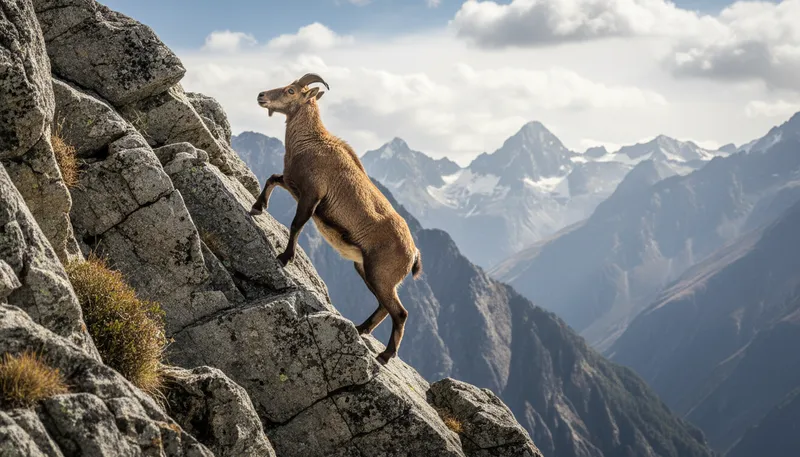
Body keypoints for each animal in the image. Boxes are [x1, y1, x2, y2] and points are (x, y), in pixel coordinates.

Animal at [250, 73, 422, 365]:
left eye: (291, 90)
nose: (261, 95)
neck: (311, 142)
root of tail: (413, 253)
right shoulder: (295, 184)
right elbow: (273, 178)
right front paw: (257, 207)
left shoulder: (311, 195)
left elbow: (296, 224)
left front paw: (284, 258)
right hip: (366, 270)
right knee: (383, 306)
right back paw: (361, 329)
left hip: (381, 274)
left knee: (400, 312)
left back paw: (385, 355)